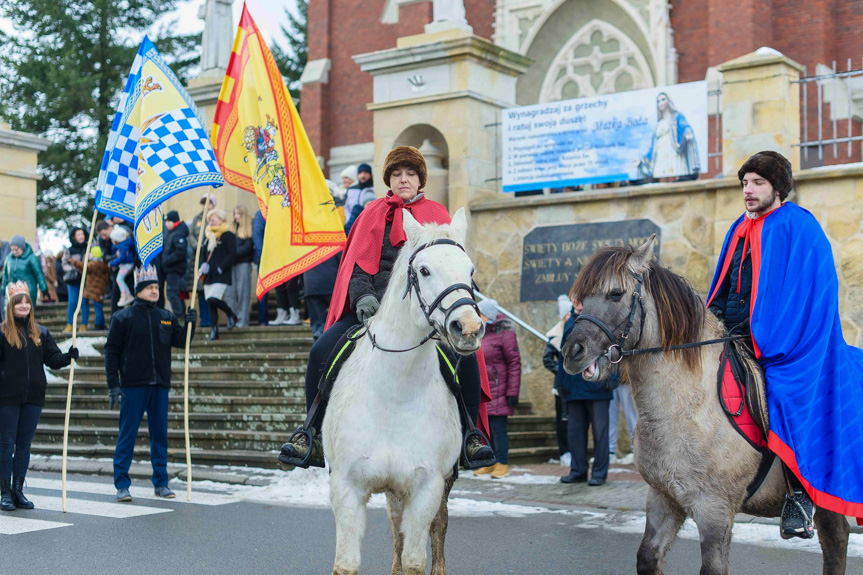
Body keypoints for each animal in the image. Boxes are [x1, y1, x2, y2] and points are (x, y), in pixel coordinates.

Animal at [324, 208, 486, 575]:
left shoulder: (427, 487)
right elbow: (347, 563)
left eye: (470, 270)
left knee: (437, 529)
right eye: (423, 270)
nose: (468, 329)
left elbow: (416, 559)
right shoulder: (346, 487)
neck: (394, 395)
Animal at [560, 235, 852, 575]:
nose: (572, 352)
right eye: (581, 299)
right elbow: (647, 557)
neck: (685, 409)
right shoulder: (663, 498)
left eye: (615, 293)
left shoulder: (714, 509)